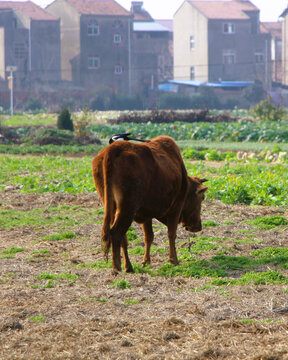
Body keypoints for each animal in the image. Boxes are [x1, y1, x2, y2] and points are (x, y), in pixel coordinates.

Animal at [92, 136, 207, 272]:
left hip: (112, 206)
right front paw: (174, 260)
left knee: (122, 237)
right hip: (127, 208)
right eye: (202, 197)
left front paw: (146, 261)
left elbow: (149, 237)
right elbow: (171, 234)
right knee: (116, 233)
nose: (198, 227)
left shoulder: (145, 214)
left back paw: (128, 266)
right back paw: (117, 267)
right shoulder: (176, 207)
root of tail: (112, 149)